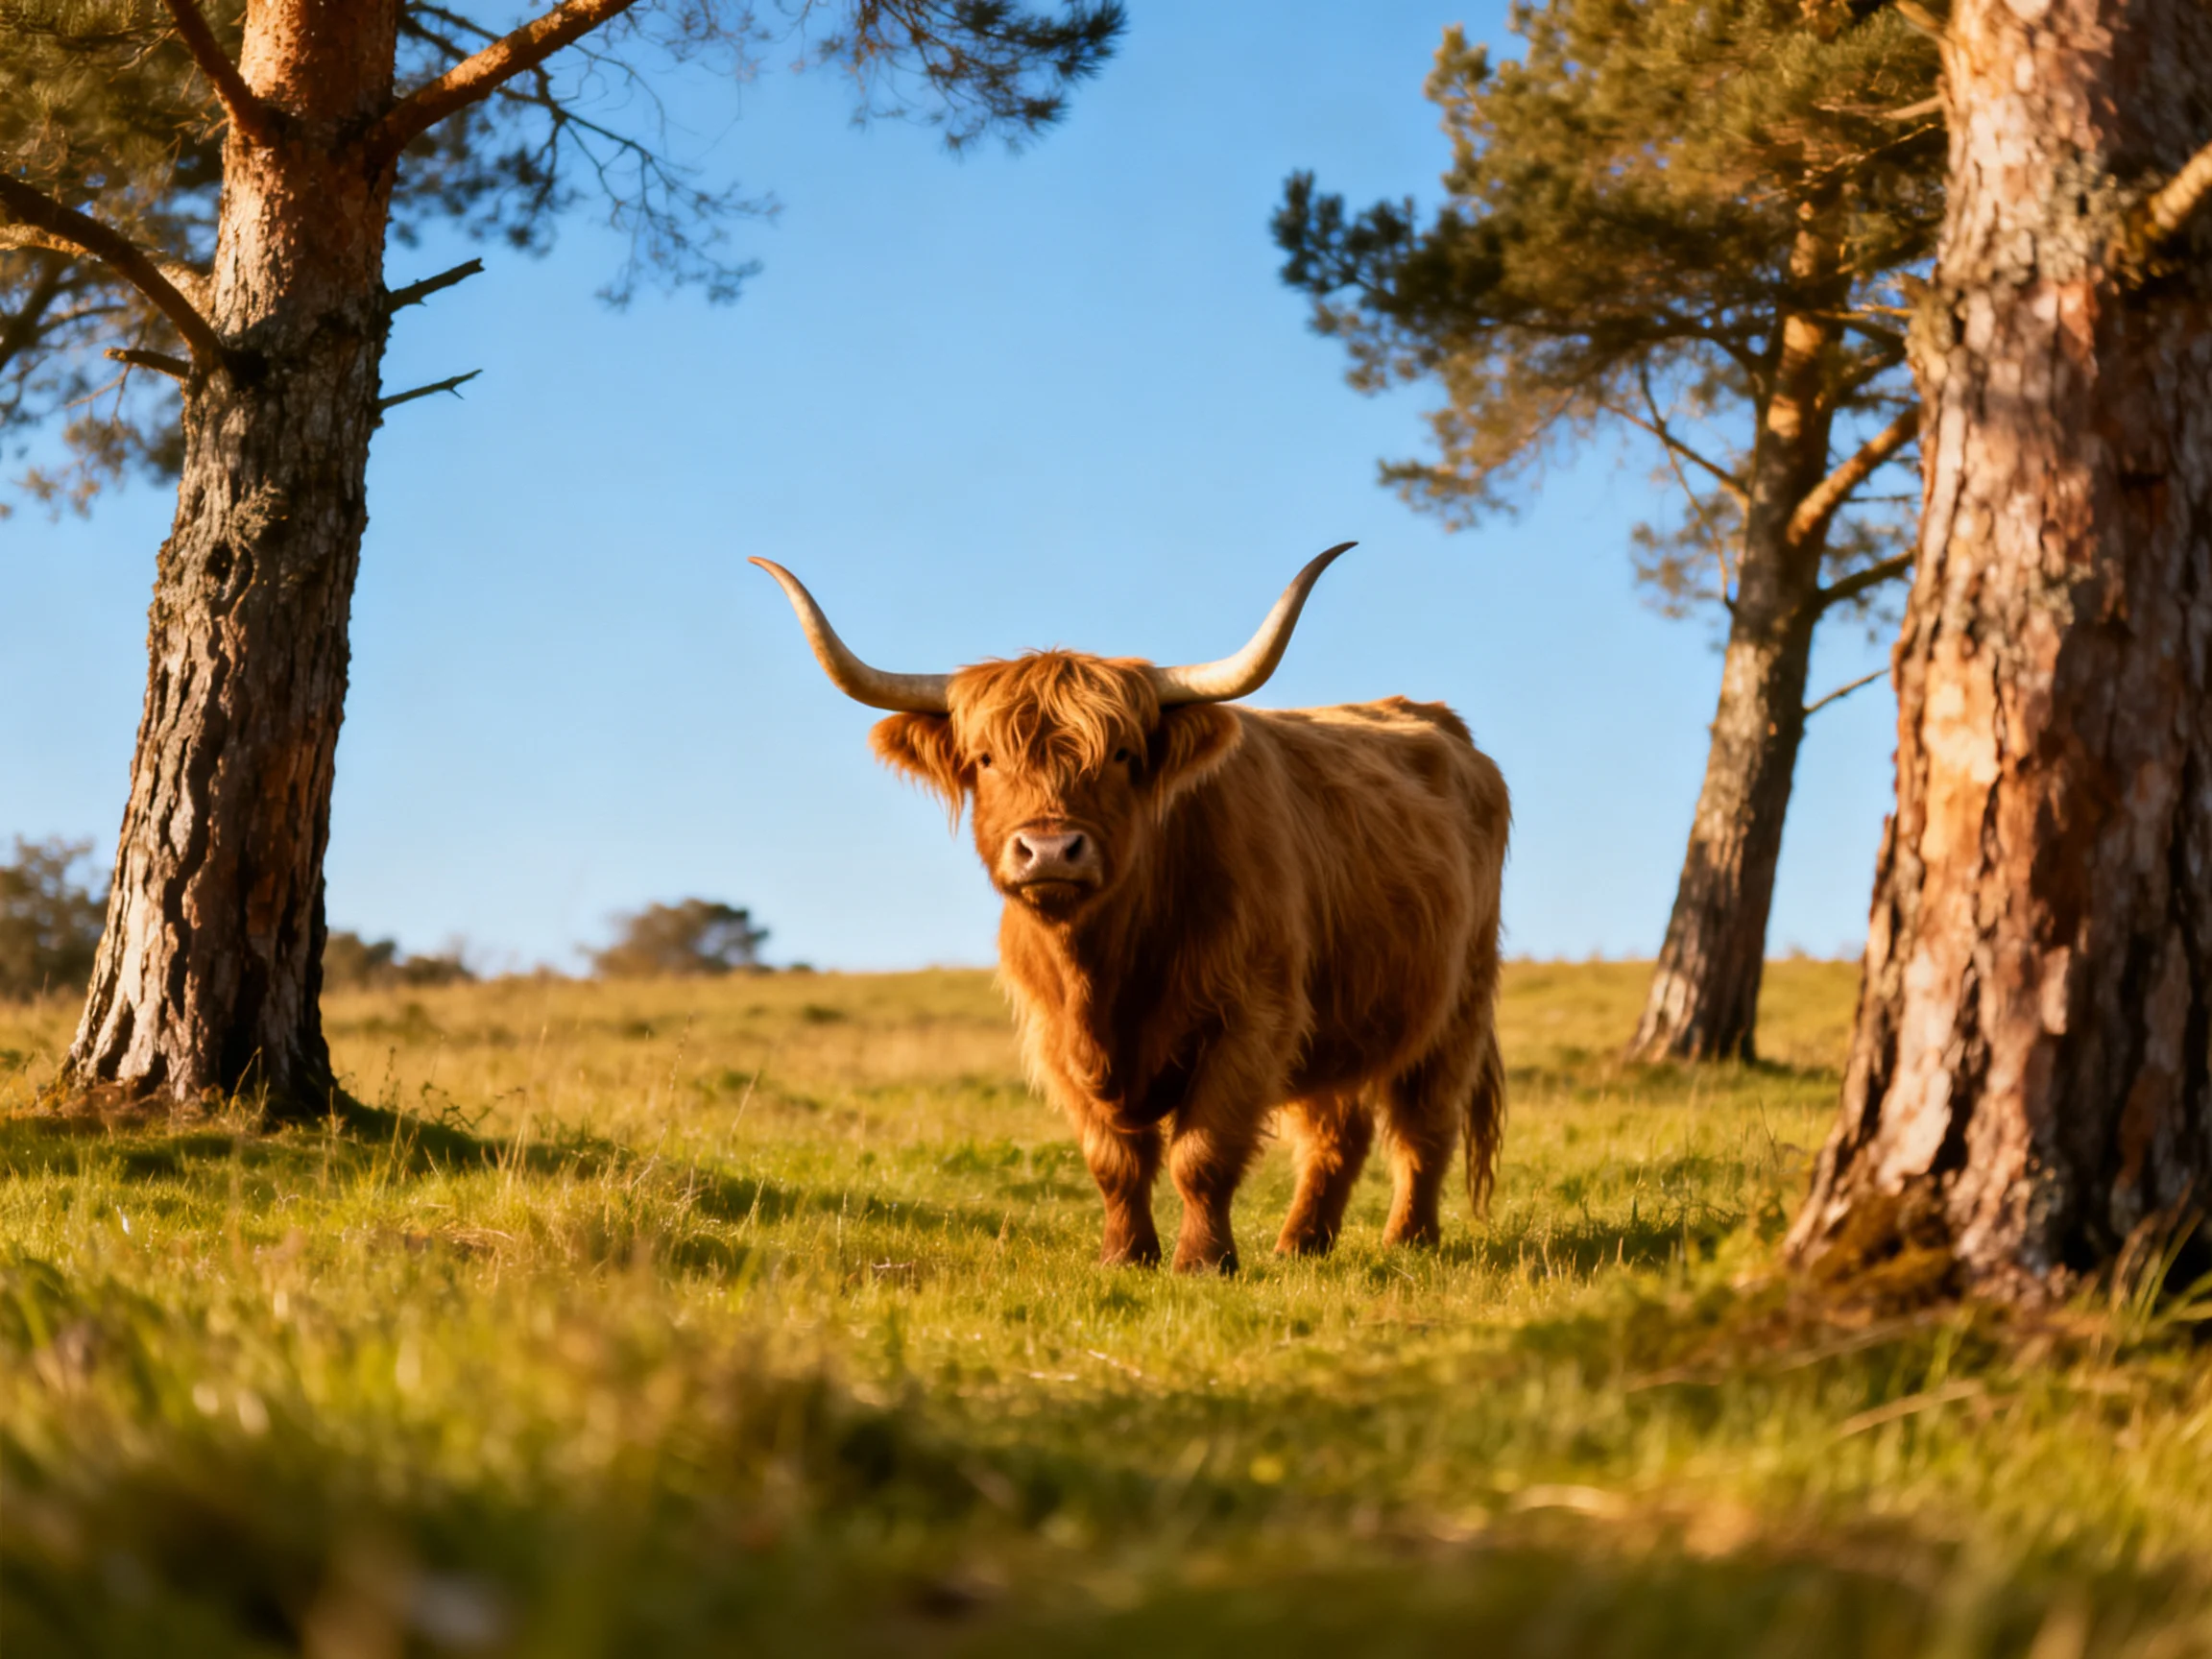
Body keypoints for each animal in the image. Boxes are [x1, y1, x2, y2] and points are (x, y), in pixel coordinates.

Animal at [752, 545, 1509, 1272]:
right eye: (987, 758)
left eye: (1119, 754)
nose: (1050, 850)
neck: (1107, 966)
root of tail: (1439, 723)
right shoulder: (1057, 1038)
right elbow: (1115, 1160)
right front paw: (1125, 1255)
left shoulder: (1253, 1017)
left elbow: (1201, 1153)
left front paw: (1203, 1261)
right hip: (1339, 1016)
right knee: (1337, 1130)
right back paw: (1301, 1243)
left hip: (1457, 1007)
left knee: (1422, 1126)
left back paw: (1408, 1241)